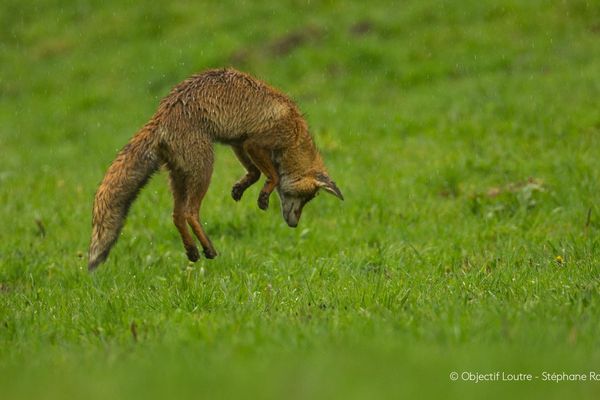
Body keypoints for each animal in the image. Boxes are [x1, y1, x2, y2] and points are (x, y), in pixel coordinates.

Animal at [87, 67, 344, 270]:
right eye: (307, 199)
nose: (294, 225)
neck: (295, 132)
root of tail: (162, 114)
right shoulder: (254, 143)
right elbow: (272, 175)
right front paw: (264, 195)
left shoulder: (238, 142)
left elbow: (254, 173)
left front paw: (240, 188)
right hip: (204, 170)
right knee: (190, 212)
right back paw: (208, 248)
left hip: (179, 177)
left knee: (177, 215)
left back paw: (193, 251)